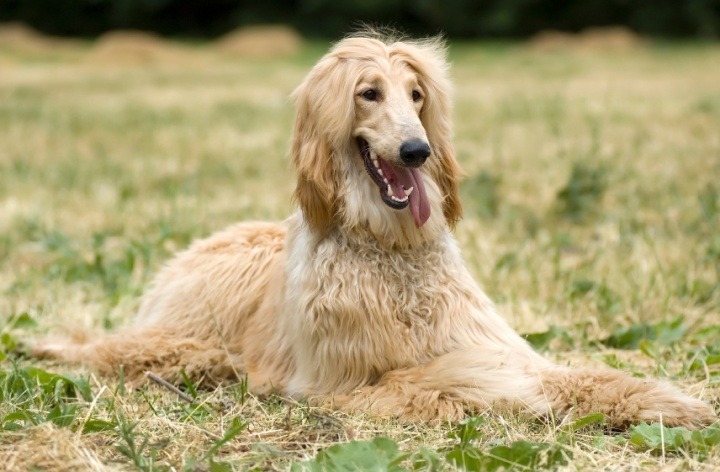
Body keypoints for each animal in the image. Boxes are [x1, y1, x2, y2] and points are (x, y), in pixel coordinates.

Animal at [36, 33, 716, 428]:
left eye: (417, 96)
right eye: (368, 93)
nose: (417, 151)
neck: (390, 247)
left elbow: (570, 373)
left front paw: (666, 401)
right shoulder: (339, 382)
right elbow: (445, 378)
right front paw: (505, 389)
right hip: (189, 334)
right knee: (116, 349)